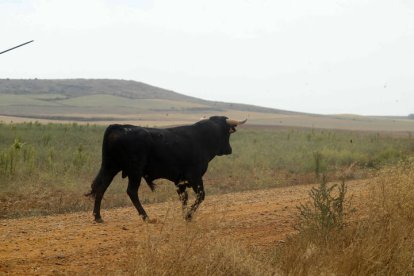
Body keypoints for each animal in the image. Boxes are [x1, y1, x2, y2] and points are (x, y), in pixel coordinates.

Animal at [85, 115, 246, 223]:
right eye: (228, 132)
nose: (229, 150)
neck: (202, 138)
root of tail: (118, 126)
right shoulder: (194, 177)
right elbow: (201, 196)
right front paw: (189, 216)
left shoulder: (180, 180)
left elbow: (184, 198)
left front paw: (184, 215)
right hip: (134, 171)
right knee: (131, 191)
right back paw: (146, 217)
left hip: (110, 167)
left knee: (101, 187)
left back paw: (98, 216)